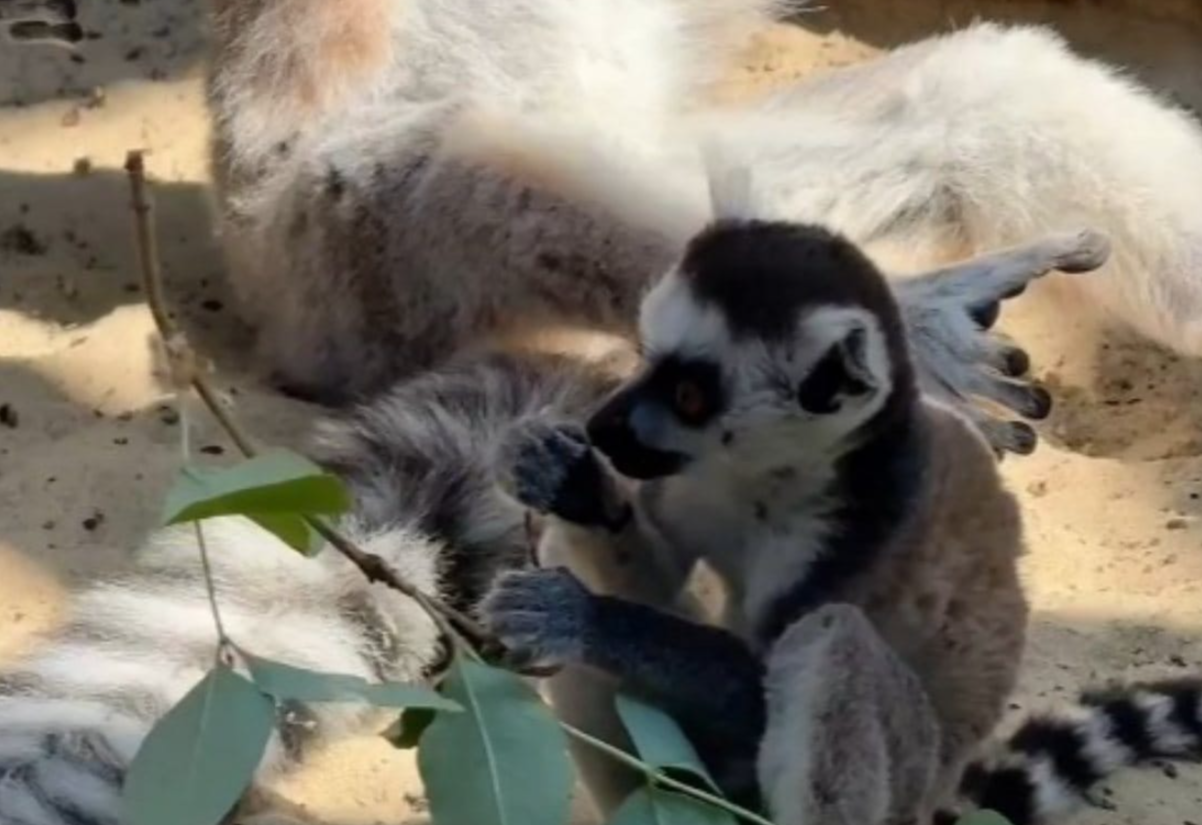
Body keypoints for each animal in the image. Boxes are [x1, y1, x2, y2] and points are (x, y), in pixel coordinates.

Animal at [481, 219, 1202, 825]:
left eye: (689, 394)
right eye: (644, 353)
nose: (602, 426)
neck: (766, 476)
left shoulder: (854, 530)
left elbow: (754, 687)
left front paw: (580, 616)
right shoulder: (692, 480)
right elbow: (655, 579)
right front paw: (570, 481)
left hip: (899, 778)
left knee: (835, 641)